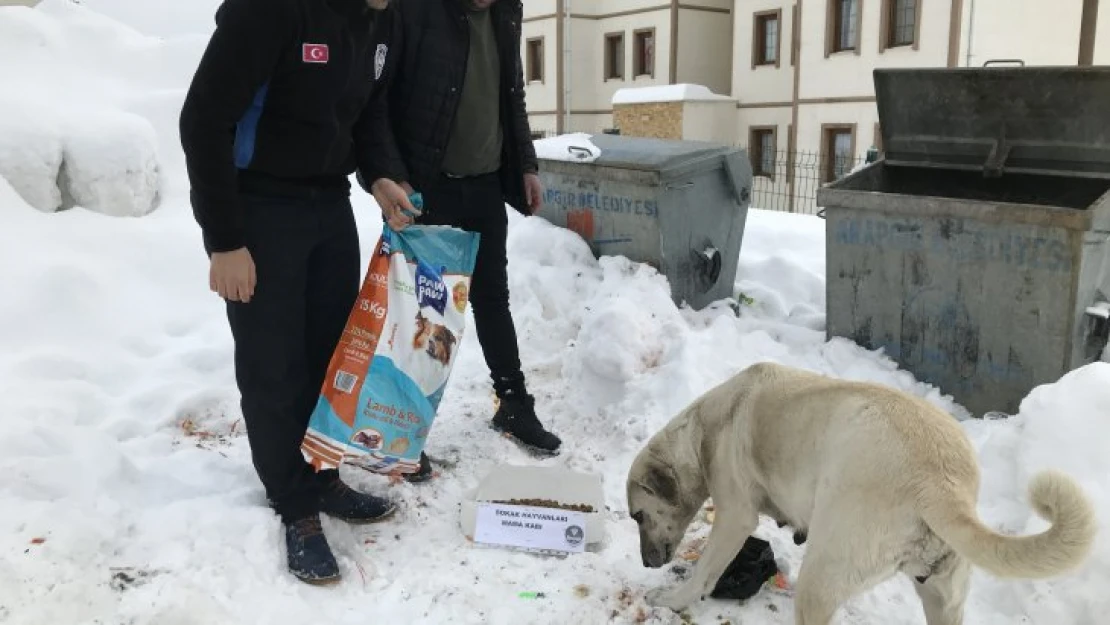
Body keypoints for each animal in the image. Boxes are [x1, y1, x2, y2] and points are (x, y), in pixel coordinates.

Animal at [630, 361, 1096, 625]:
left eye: (637, 516)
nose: (646, 562)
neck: (704, 428)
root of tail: (942, 483)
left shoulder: (734, 517)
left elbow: (704, 571)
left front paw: (673, 599)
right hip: (943, 599)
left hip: (821, 578)